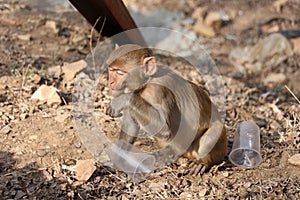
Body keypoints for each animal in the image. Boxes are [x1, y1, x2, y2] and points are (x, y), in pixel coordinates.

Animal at [105, 44, 227, 175]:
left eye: (120, 72)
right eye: (111, 70)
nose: (111, 82)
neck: (147, 82)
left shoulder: (157, 92)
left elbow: (164, 129)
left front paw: (121, 99)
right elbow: (131, 126)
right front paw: (117, 158)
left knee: (213, 133)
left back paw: (202, 163)